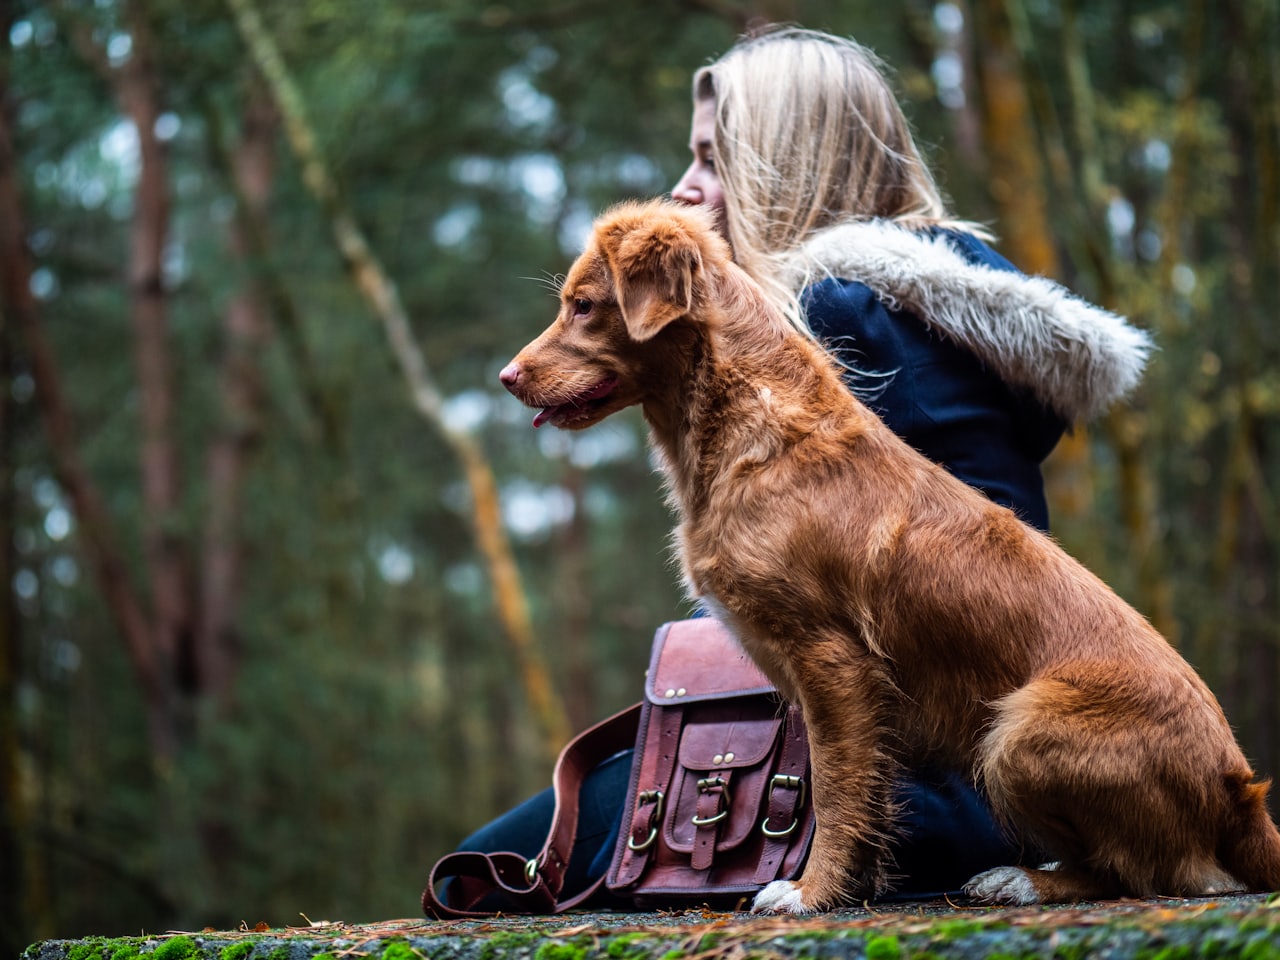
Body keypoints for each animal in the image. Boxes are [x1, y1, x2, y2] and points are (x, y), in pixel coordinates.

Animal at [496, 199, 1280, 911]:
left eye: (584, 306)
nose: (506, 377)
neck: (747, 425)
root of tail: (1240, 789)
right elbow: (865, 795)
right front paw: (854, 887)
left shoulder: (832, 660)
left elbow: (835, 792)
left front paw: (806, 894)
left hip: (1017, 731)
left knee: (1147, 872)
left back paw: (1023, 880)